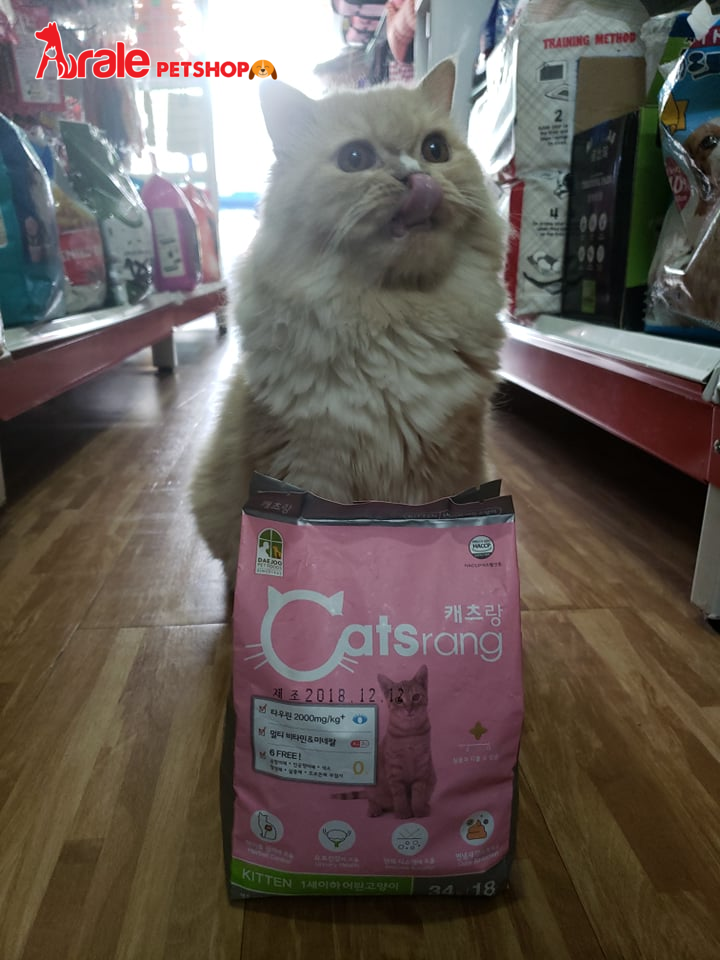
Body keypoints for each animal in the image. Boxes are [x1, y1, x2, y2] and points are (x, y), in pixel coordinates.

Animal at [191, 59, 507, 584]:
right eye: (355, 158)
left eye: (435, 150)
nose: (415, 176)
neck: (391, 316)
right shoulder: (312, 466)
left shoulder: (445, 464)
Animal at [332, 665, 436, 819]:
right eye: (399, 700)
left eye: (416, 697)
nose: (409, 709)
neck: (409, 733)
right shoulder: (394, 770)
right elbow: (399, 795)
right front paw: (403, 812)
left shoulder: (422, 766)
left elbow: (418, 793)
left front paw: (418, 811)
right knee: (371, 798)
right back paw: (374, 809)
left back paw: (426, 806)